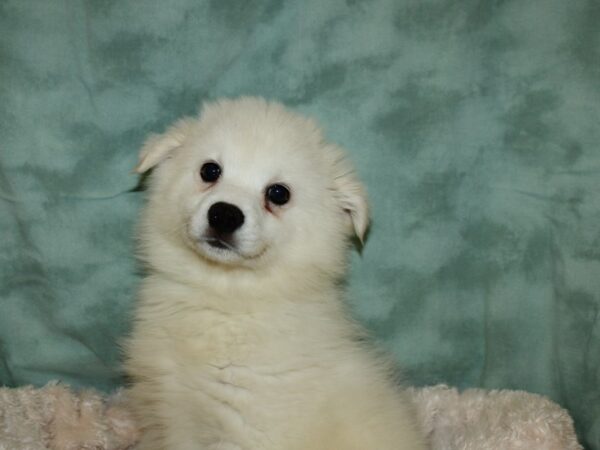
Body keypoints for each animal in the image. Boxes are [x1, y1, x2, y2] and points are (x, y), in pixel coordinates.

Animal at [125, 96, 426, 448]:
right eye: (210, 170)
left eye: (278, 193)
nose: (224, 214)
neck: (225, 298)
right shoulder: (164, 413)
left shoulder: (249, 427)